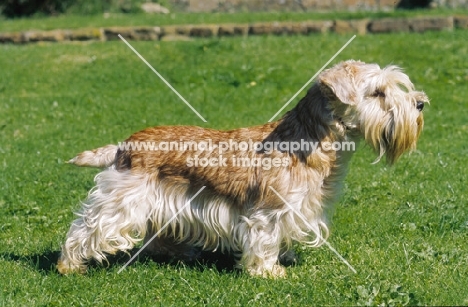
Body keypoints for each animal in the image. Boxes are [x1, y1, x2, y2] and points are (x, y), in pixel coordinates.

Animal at [57, 61, 428, 278]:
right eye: (377, 93)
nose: (421, 103)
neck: (309, 140)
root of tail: (124, 145)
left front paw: (283, 259)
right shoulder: (269, 212)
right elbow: (264, 241)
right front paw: (267, 271)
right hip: (121, 202)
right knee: (85, 228)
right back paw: (69, 265)